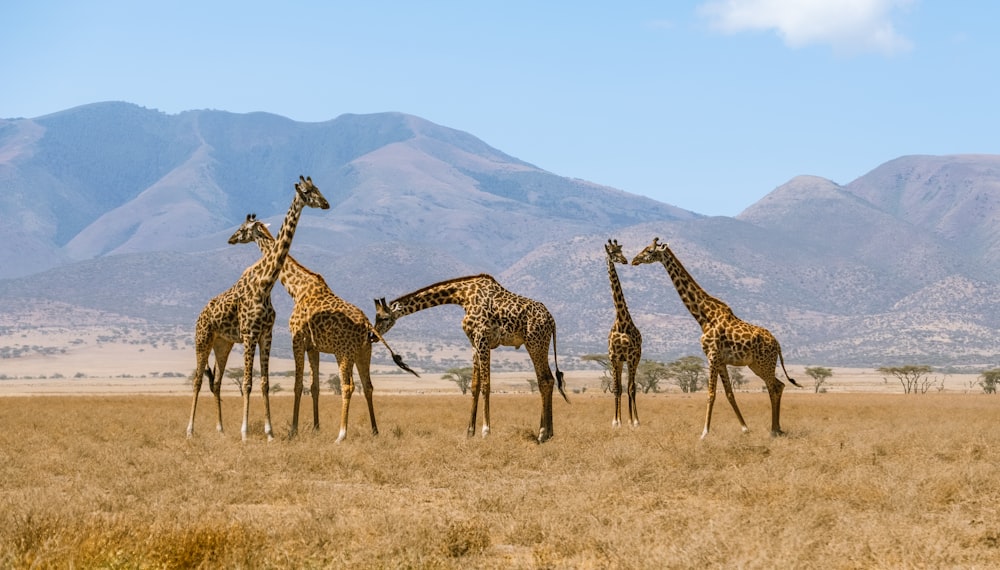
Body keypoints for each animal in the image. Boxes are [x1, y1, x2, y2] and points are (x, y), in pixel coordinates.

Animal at [186, 175, 330, 442]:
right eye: (307, 191)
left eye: (316, 188)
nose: (325, 203)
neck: (265, 284)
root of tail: (200, 315)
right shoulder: (249, 334)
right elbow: (247, 383)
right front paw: (244, 433)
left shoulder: (266, 335)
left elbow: (264, 383)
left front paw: (269, 432)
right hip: (202, 339)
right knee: (198, 380)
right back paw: (190, 431)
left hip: (223, 343)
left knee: (217, 382)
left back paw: (220, 429)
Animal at [229, 213, 420, 440]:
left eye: (242, 229)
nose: (231, 239)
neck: (297, 288)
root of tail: (367, 325)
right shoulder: (314, 347)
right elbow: (314, 386)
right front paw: (316, 428)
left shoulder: (297, 340)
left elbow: (298, 385)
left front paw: (294, 429)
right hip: (364, 352)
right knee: (368, 386)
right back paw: (374, 431)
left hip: (343, 353)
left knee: (348, 386)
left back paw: (341, 433)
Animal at [374, 272, 572, 442]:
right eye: (376, 317)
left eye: (383, 317)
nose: (372, 335)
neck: (462, 296)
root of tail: (552, 321)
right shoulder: (473, 343)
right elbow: (475, 386)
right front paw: (469, 431)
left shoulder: (483, 338)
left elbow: (486, 385)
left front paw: (486, 431)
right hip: (538, 343)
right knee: (547, 380)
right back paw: (548, 433)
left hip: (535, 343)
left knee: (545, 380)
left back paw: (542, 433)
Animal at [628, 237, 800, 438]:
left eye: (649, 251)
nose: (634, 260)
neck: (704, 317)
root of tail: (778, 344)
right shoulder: (721, 361)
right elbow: (729, 393)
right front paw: (745, 428)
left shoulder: (712, 356)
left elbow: (711, 394)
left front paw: (704, 433)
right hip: (756, 364)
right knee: (778, 386)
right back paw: (777, 428)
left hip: (764, 363)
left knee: (774, 387)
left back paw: (774, 430)